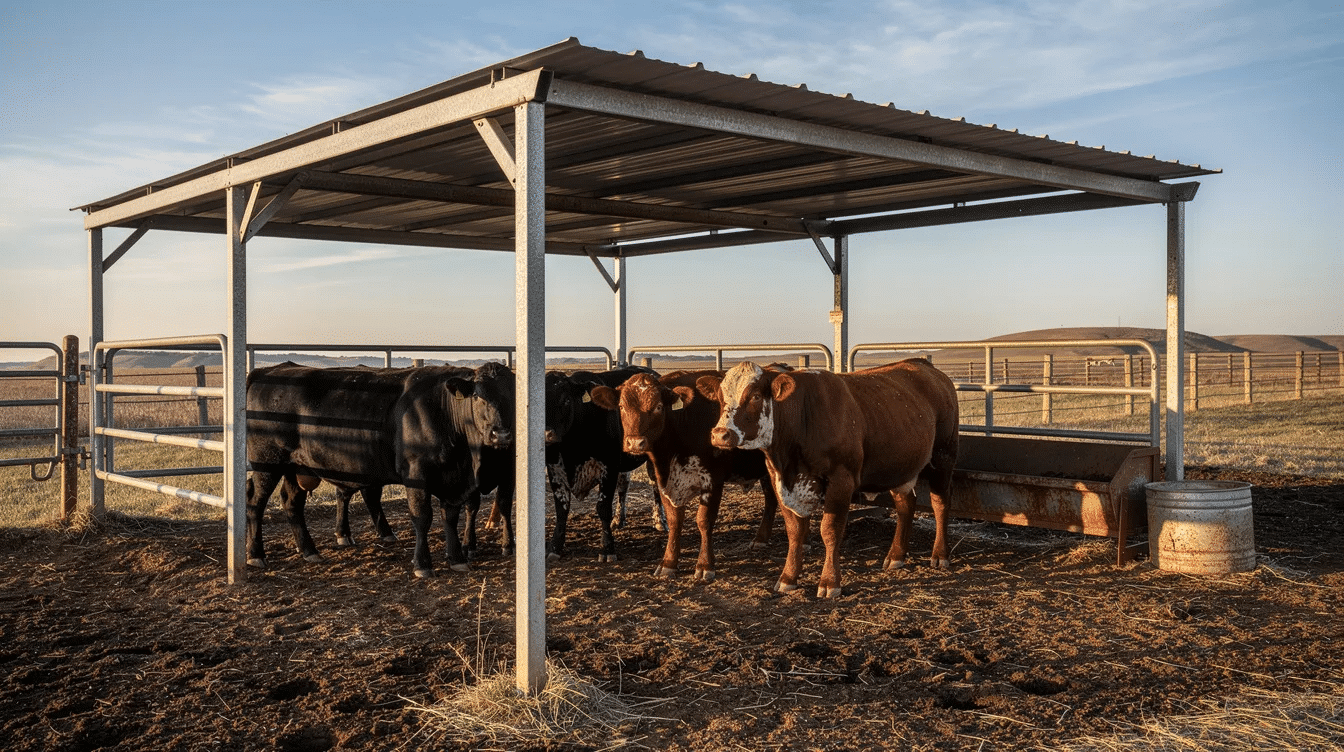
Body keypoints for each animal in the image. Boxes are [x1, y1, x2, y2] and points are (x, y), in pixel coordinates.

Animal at [245, 361, 514, 577]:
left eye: (512, 393)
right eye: (477, 396)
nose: (501, 434)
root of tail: (268, 370)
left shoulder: (453, 479)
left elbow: (450, 516)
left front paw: (457, 558)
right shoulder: (416, 474)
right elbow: (422, 517)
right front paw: (423, 565)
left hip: (297, 467)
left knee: (291, 503)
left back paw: (309, 551)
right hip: (267, 463)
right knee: (255, 502)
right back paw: (256, 554)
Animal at [543, 366, 654, 562]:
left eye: (566, 400)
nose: (547, 435)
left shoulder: (608, 468)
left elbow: (603, 508)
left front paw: (607, 548)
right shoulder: (555, 470)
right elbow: (562, 509)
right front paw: (554, 547)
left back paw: (660, 520)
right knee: (624, 486)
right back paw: (619, 519)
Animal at [588, 369, 779, 582]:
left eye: (658, 407)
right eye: (622, 406)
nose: (635, 443)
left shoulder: (712, 481)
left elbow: (704, 521)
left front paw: (705, 565)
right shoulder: (664, 481)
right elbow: (674, 521)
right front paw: (668, 563)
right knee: (771, 499)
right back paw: (761, 539)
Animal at [696, 359, 958, 597]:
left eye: (756, 396)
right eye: (721, 398)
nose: (720, 435)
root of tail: (926, 366)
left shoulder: (841, 480)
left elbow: (830, 530)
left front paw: (830, 582)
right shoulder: (780, 480)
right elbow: (794, 531)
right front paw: (788, 578)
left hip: (943, 458)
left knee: (940, 504)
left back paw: (940, 554)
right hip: (899, 467)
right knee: (905, 506)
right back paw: (896, 556)